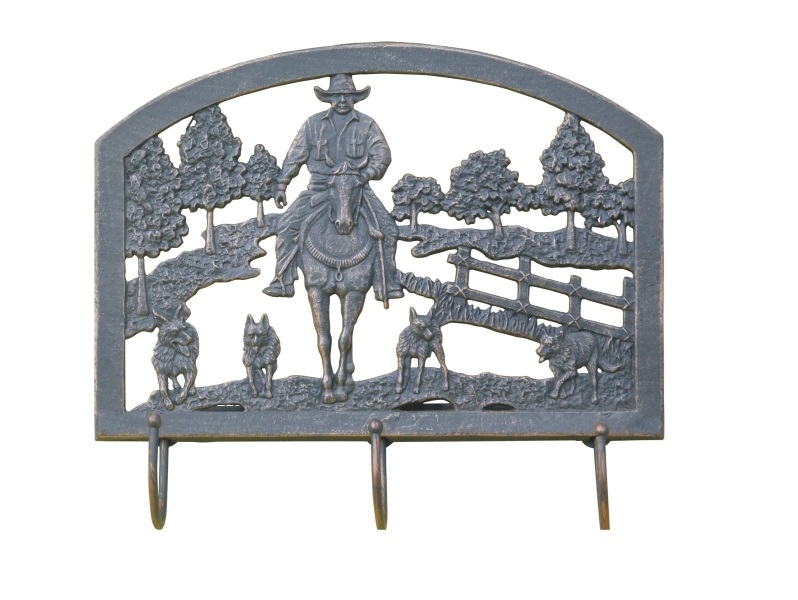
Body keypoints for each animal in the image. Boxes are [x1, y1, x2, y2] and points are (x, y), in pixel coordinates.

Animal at [297, 166, 387, 404]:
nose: (344, 224)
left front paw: (339, 388)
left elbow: (344, 339)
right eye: (330, 185)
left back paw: (347, 379)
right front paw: (328, 389)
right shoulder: (316, 291)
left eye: (357, 186)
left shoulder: (356, 292)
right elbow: (324, 339)